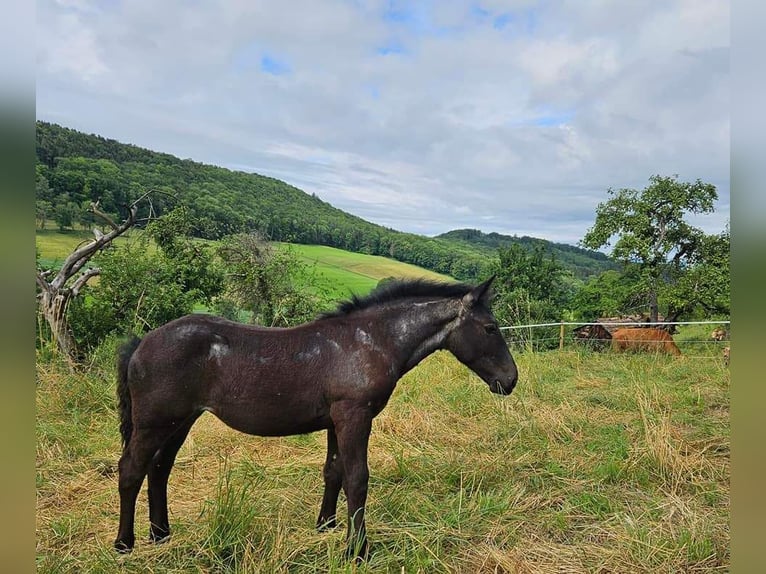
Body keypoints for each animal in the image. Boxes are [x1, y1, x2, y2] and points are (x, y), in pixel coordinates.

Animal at [114, 280, 520, 564]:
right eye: (490, 328)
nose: (510, 380)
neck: (369, 341)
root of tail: (141, 343)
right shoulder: (354, 417)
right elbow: (357, 479)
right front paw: (358, 551)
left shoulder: (335, 422)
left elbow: (333, 472)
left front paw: (326, 526)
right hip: (154, 423)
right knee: (131, 470)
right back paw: (124, 544)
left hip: (179, 421)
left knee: (159, 469)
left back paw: (161, 535)